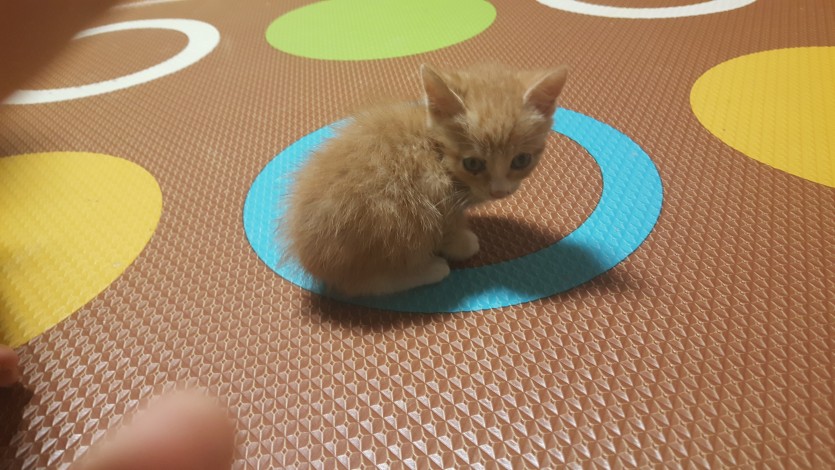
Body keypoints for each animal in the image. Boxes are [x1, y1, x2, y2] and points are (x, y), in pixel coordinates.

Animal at [281, 63, 568, 297]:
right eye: (472, 163)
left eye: (521, 160)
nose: (499, 192)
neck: (435, 148)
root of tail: (306, 253)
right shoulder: (437, 195)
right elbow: (449, 230)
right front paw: (463, 243)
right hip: (395, 217)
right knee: (360, 284)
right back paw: (430, 269)